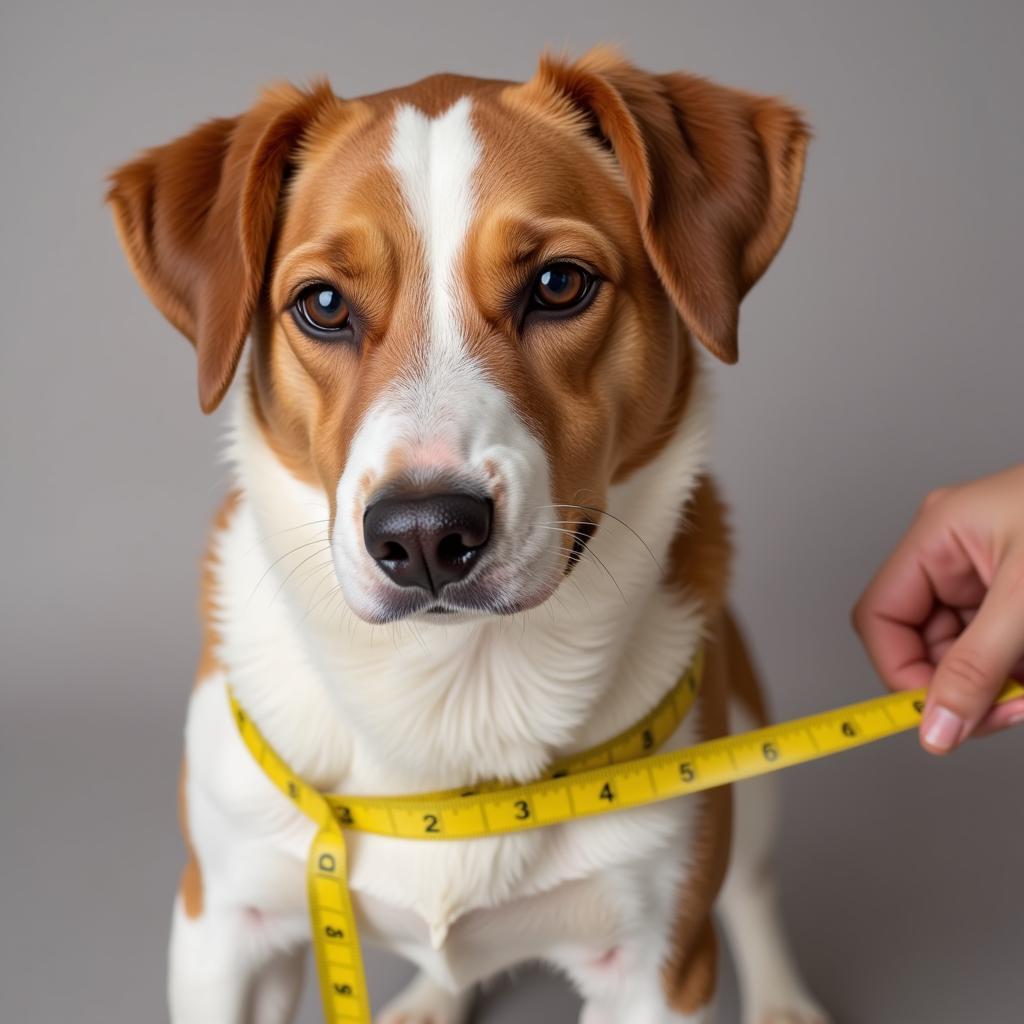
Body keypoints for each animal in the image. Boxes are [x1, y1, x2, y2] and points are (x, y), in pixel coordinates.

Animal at [108, 46, 827, 1024]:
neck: (450, 689)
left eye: (559, 284)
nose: (423, 533)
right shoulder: (223, 923)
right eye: (322, 303)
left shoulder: (658, 962)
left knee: (753, 885)